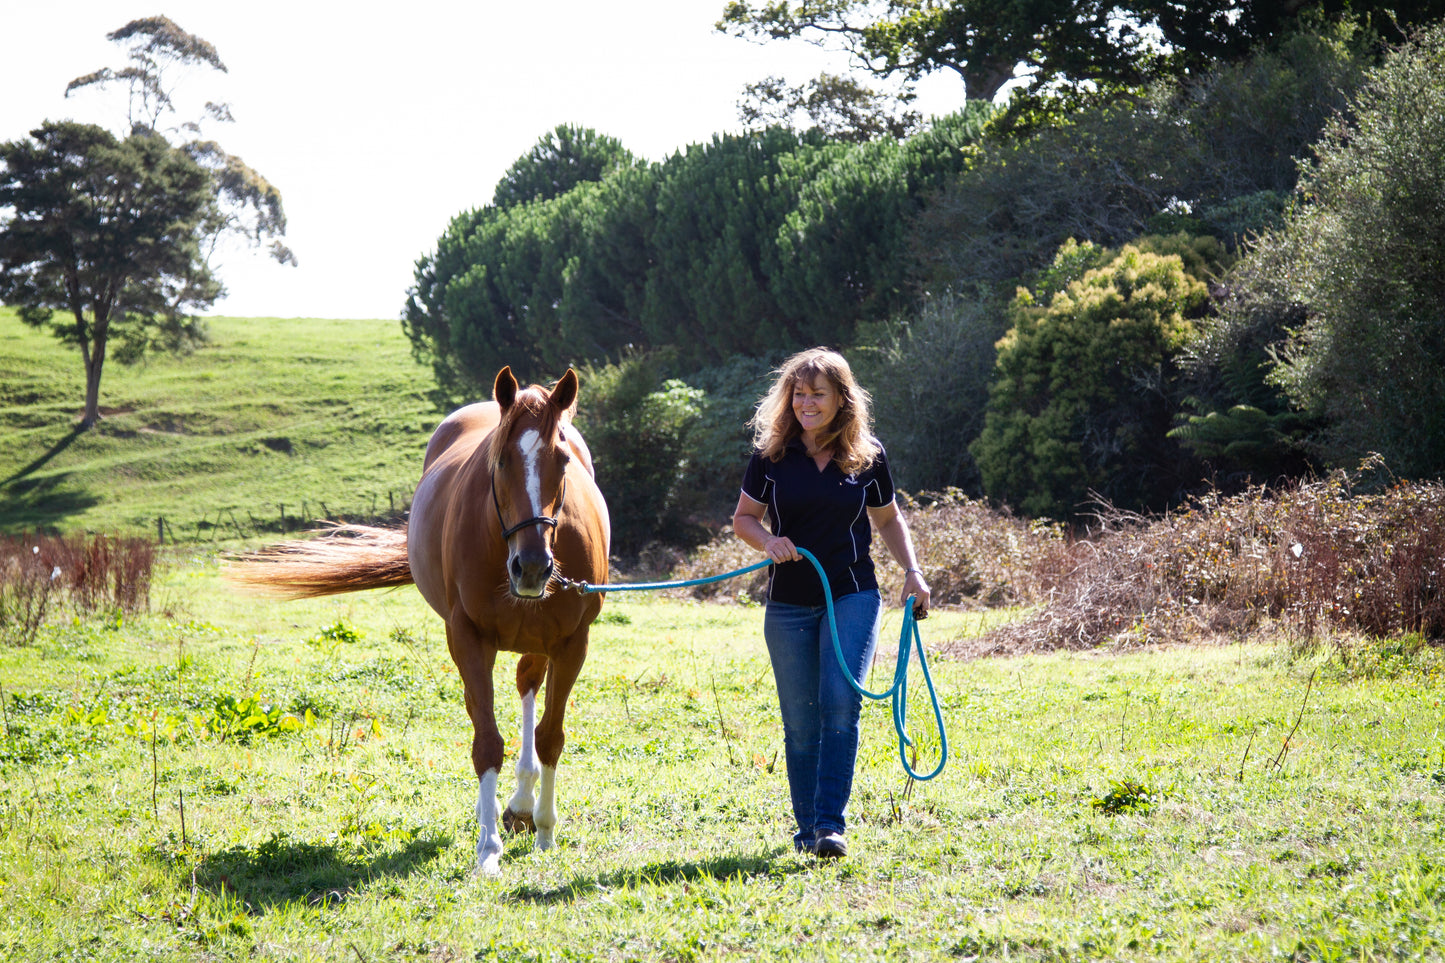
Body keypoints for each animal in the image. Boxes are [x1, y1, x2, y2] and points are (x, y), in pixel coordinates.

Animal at [234, 365, 606, 867]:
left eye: (563, 461)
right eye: (500, 461)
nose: (531, 567)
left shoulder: (571, 642)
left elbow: (550, 736)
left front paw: (546, 834)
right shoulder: (468, 637)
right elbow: (486, 741)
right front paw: (488, 848)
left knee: (527, 687)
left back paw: (522, 804)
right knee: (484, 708)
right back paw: (496, 811)